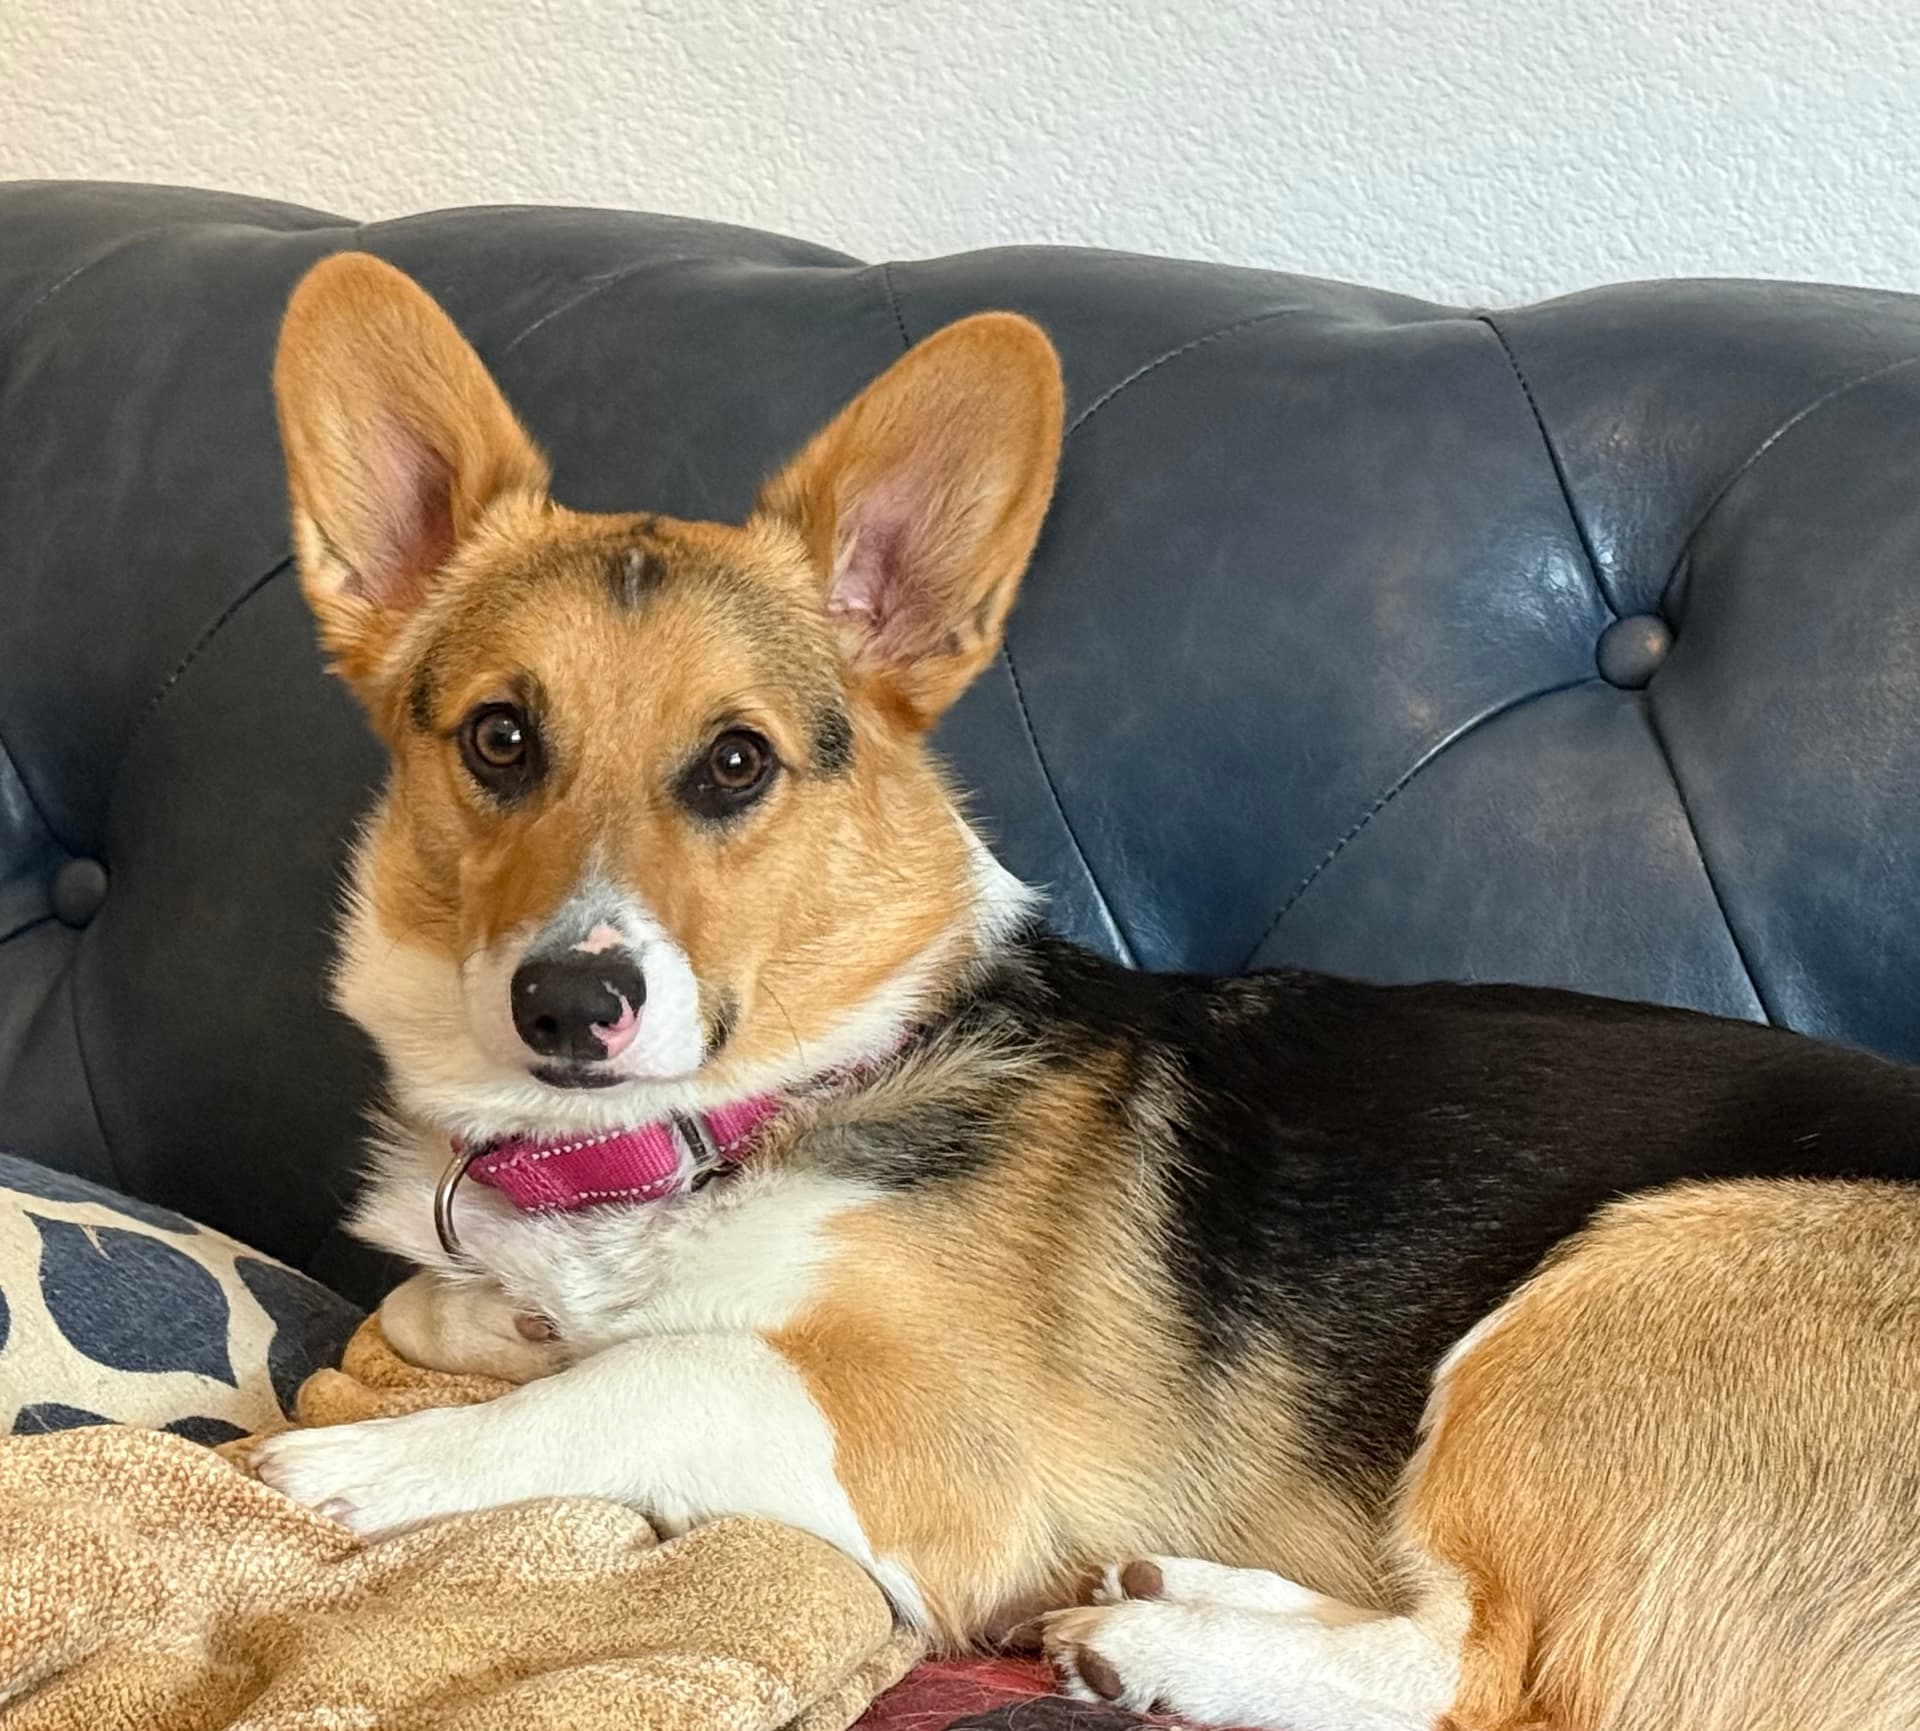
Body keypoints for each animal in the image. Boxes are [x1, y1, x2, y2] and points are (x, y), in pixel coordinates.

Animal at [252, 252, 1920, 1731]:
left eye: (734, 761)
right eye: (500, 738)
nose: (568, 1004)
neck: (746, 1108)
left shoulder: (913, 1439)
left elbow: (642, 1377)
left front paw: (354, 1468)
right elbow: (460, 1302)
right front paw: (503, 1315)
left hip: (1618, 1279)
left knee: (1487, 1672)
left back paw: (1171, 1644)